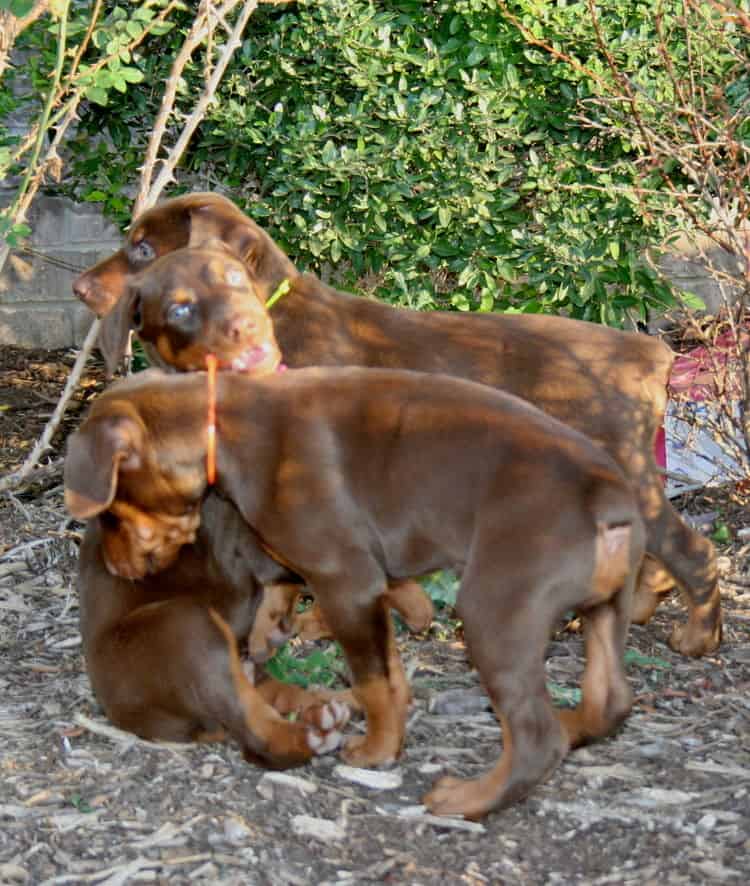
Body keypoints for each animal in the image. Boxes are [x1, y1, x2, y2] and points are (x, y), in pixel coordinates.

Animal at [66, 366, 648, 820]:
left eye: (111, 511)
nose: (115, 569)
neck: (223, 427)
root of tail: (606, 494)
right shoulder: (358, 579)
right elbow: (387, 664)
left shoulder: (344, 580)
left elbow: (373, 680)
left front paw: (376, 751)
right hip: (607, 606)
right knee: (610, 698)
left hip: (494, 612)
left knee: (533, 736)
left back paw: (464, 799)